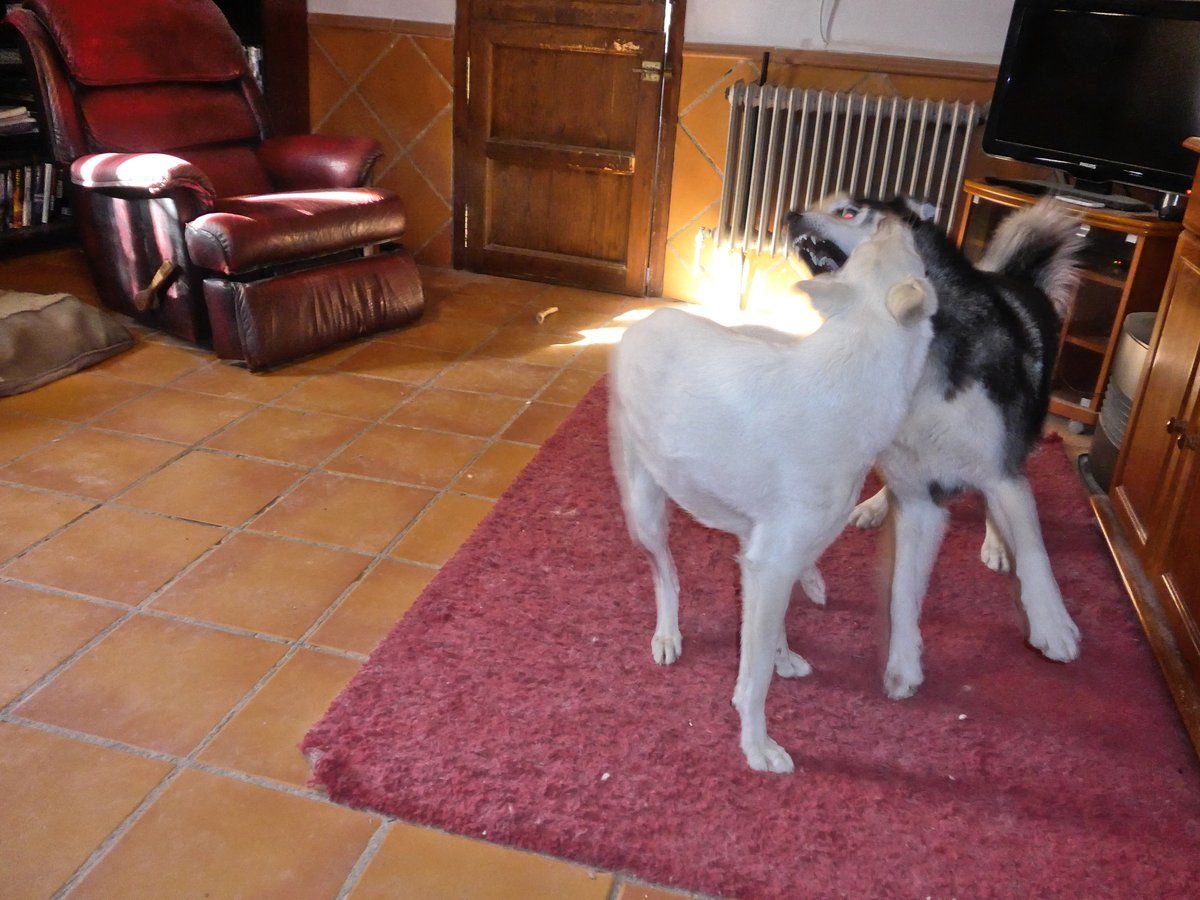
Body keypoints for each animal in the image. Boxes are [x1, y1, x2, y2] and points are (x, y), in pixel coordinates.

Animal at [609, 220, 936, 777]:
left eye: (873, 246)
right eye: (915, 255)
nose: (895, 219)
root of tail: (640, 324)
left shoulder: (774, 560)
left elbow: (772, 630)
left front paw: (783, 656)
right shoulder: (771, 564)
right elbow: (753, 679)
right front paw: (757, 747)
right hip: (644, 510)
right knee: (665, 575)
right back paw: (668, 634)